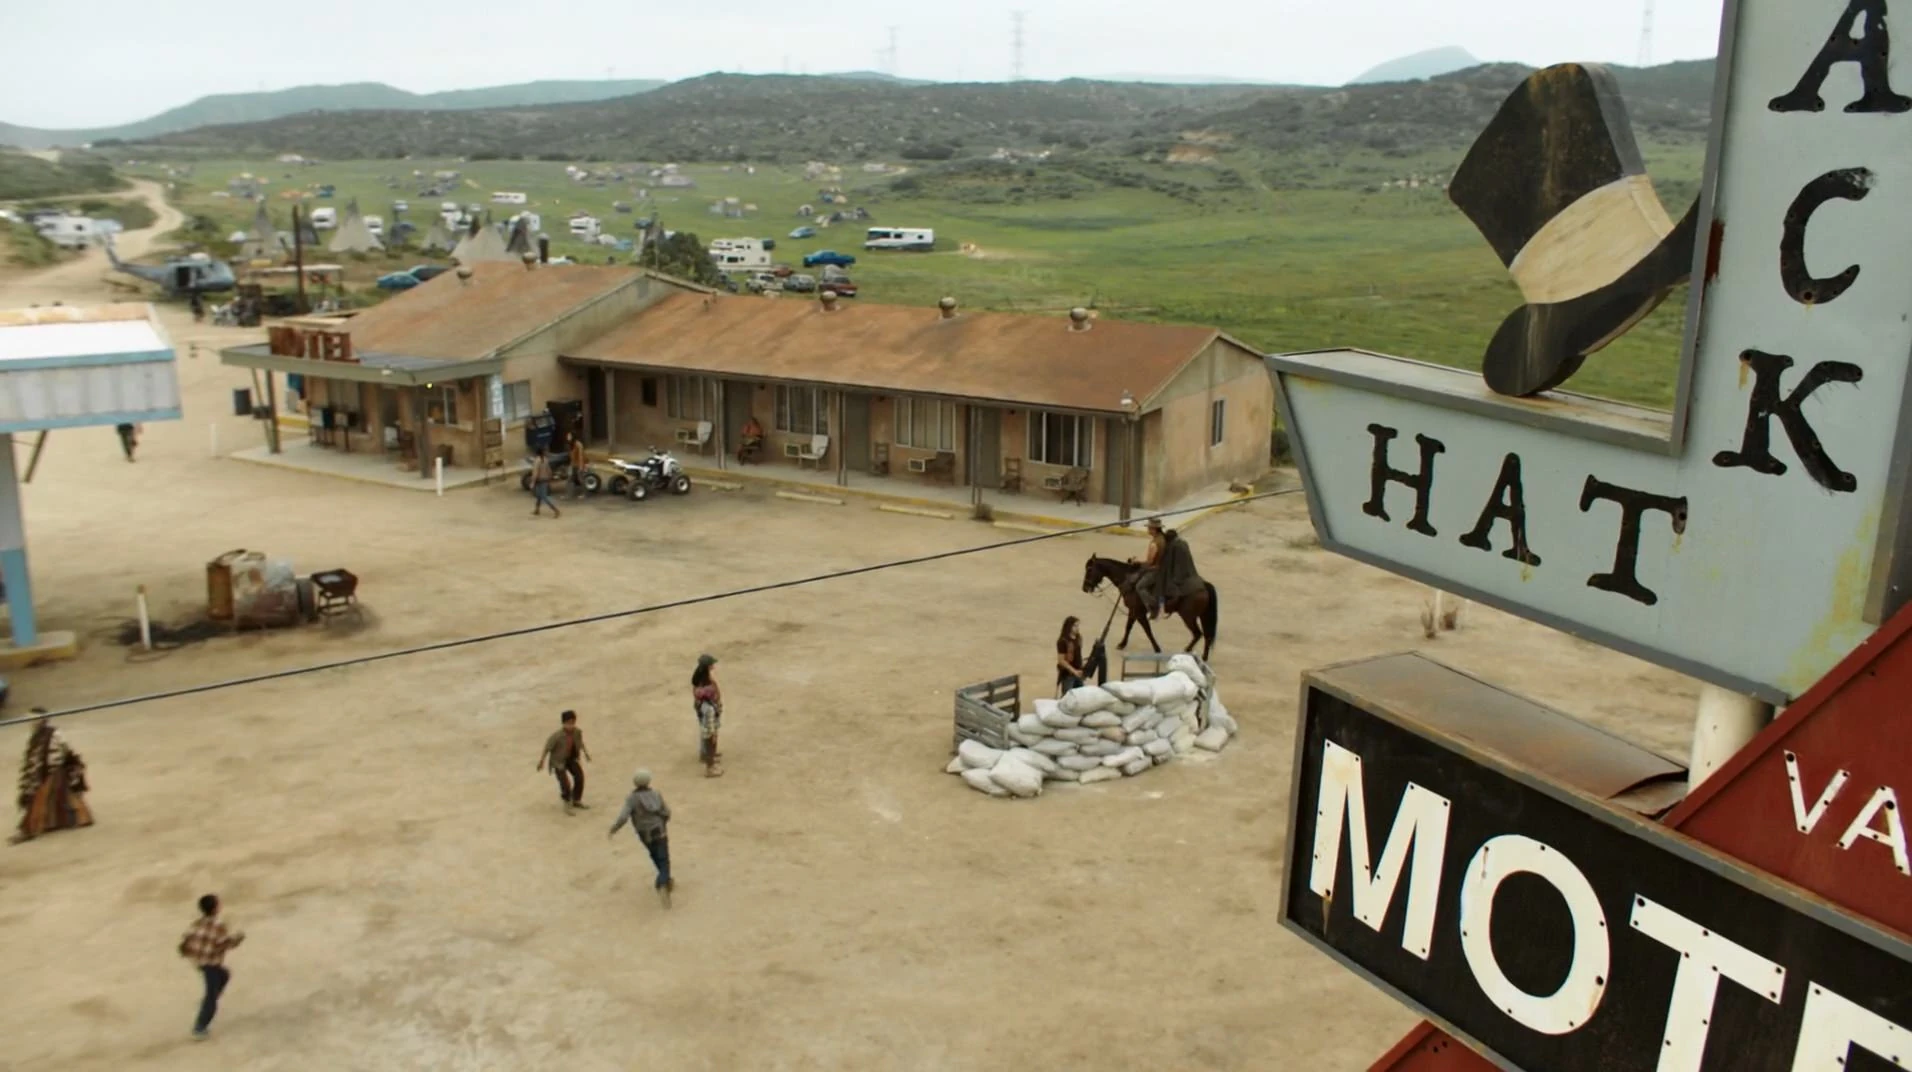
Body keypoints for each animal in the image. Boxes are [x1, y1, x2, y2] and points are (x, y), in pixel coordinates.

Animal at [1082, 556, 1219, 662]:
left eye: (1089, 569)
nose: (1084, 588)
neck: (1128, 579)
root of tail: (1204, 585)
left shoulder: (1139, 613)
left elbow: (1147, 630)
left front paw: (1157, 649)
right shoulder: (1133, 611)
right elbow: (1128, 627)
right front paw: (1122, 644)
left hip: (1188, 616)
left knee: (1198, 634)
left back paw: (1188, 651)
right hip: (1203, 616)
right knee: (1206, 636)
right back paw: (1203, 657)